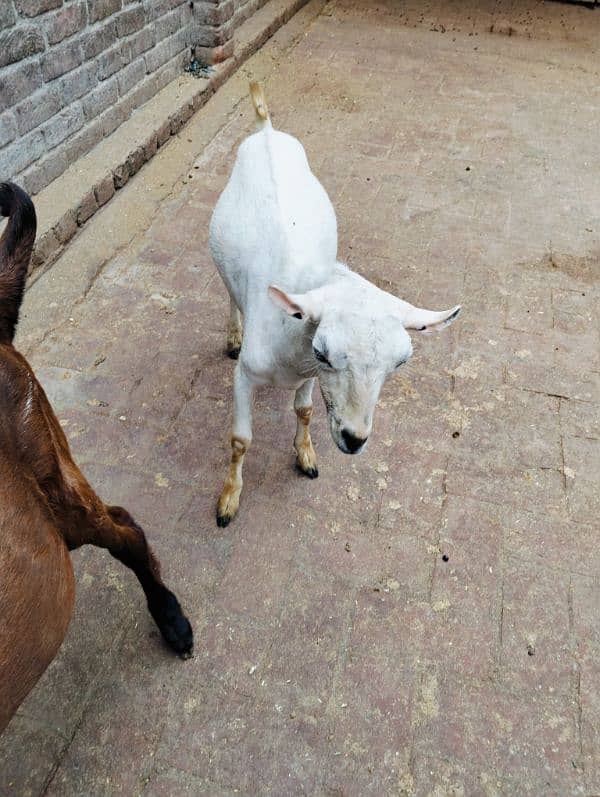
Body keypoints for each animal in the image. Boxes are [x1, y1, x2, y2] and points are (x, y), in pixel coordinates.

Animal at [207, 84, 460, 524]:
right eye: (324, 352)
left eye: (401, 362)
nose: (355, 438)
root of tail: (266, 130)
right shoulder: (247, 375)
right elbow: (240, 439)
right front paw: (228, 500)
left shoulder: (307, 374)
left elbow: (306, 410)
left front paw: (306, 456)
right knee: (229, 293)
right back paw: (233, 335)